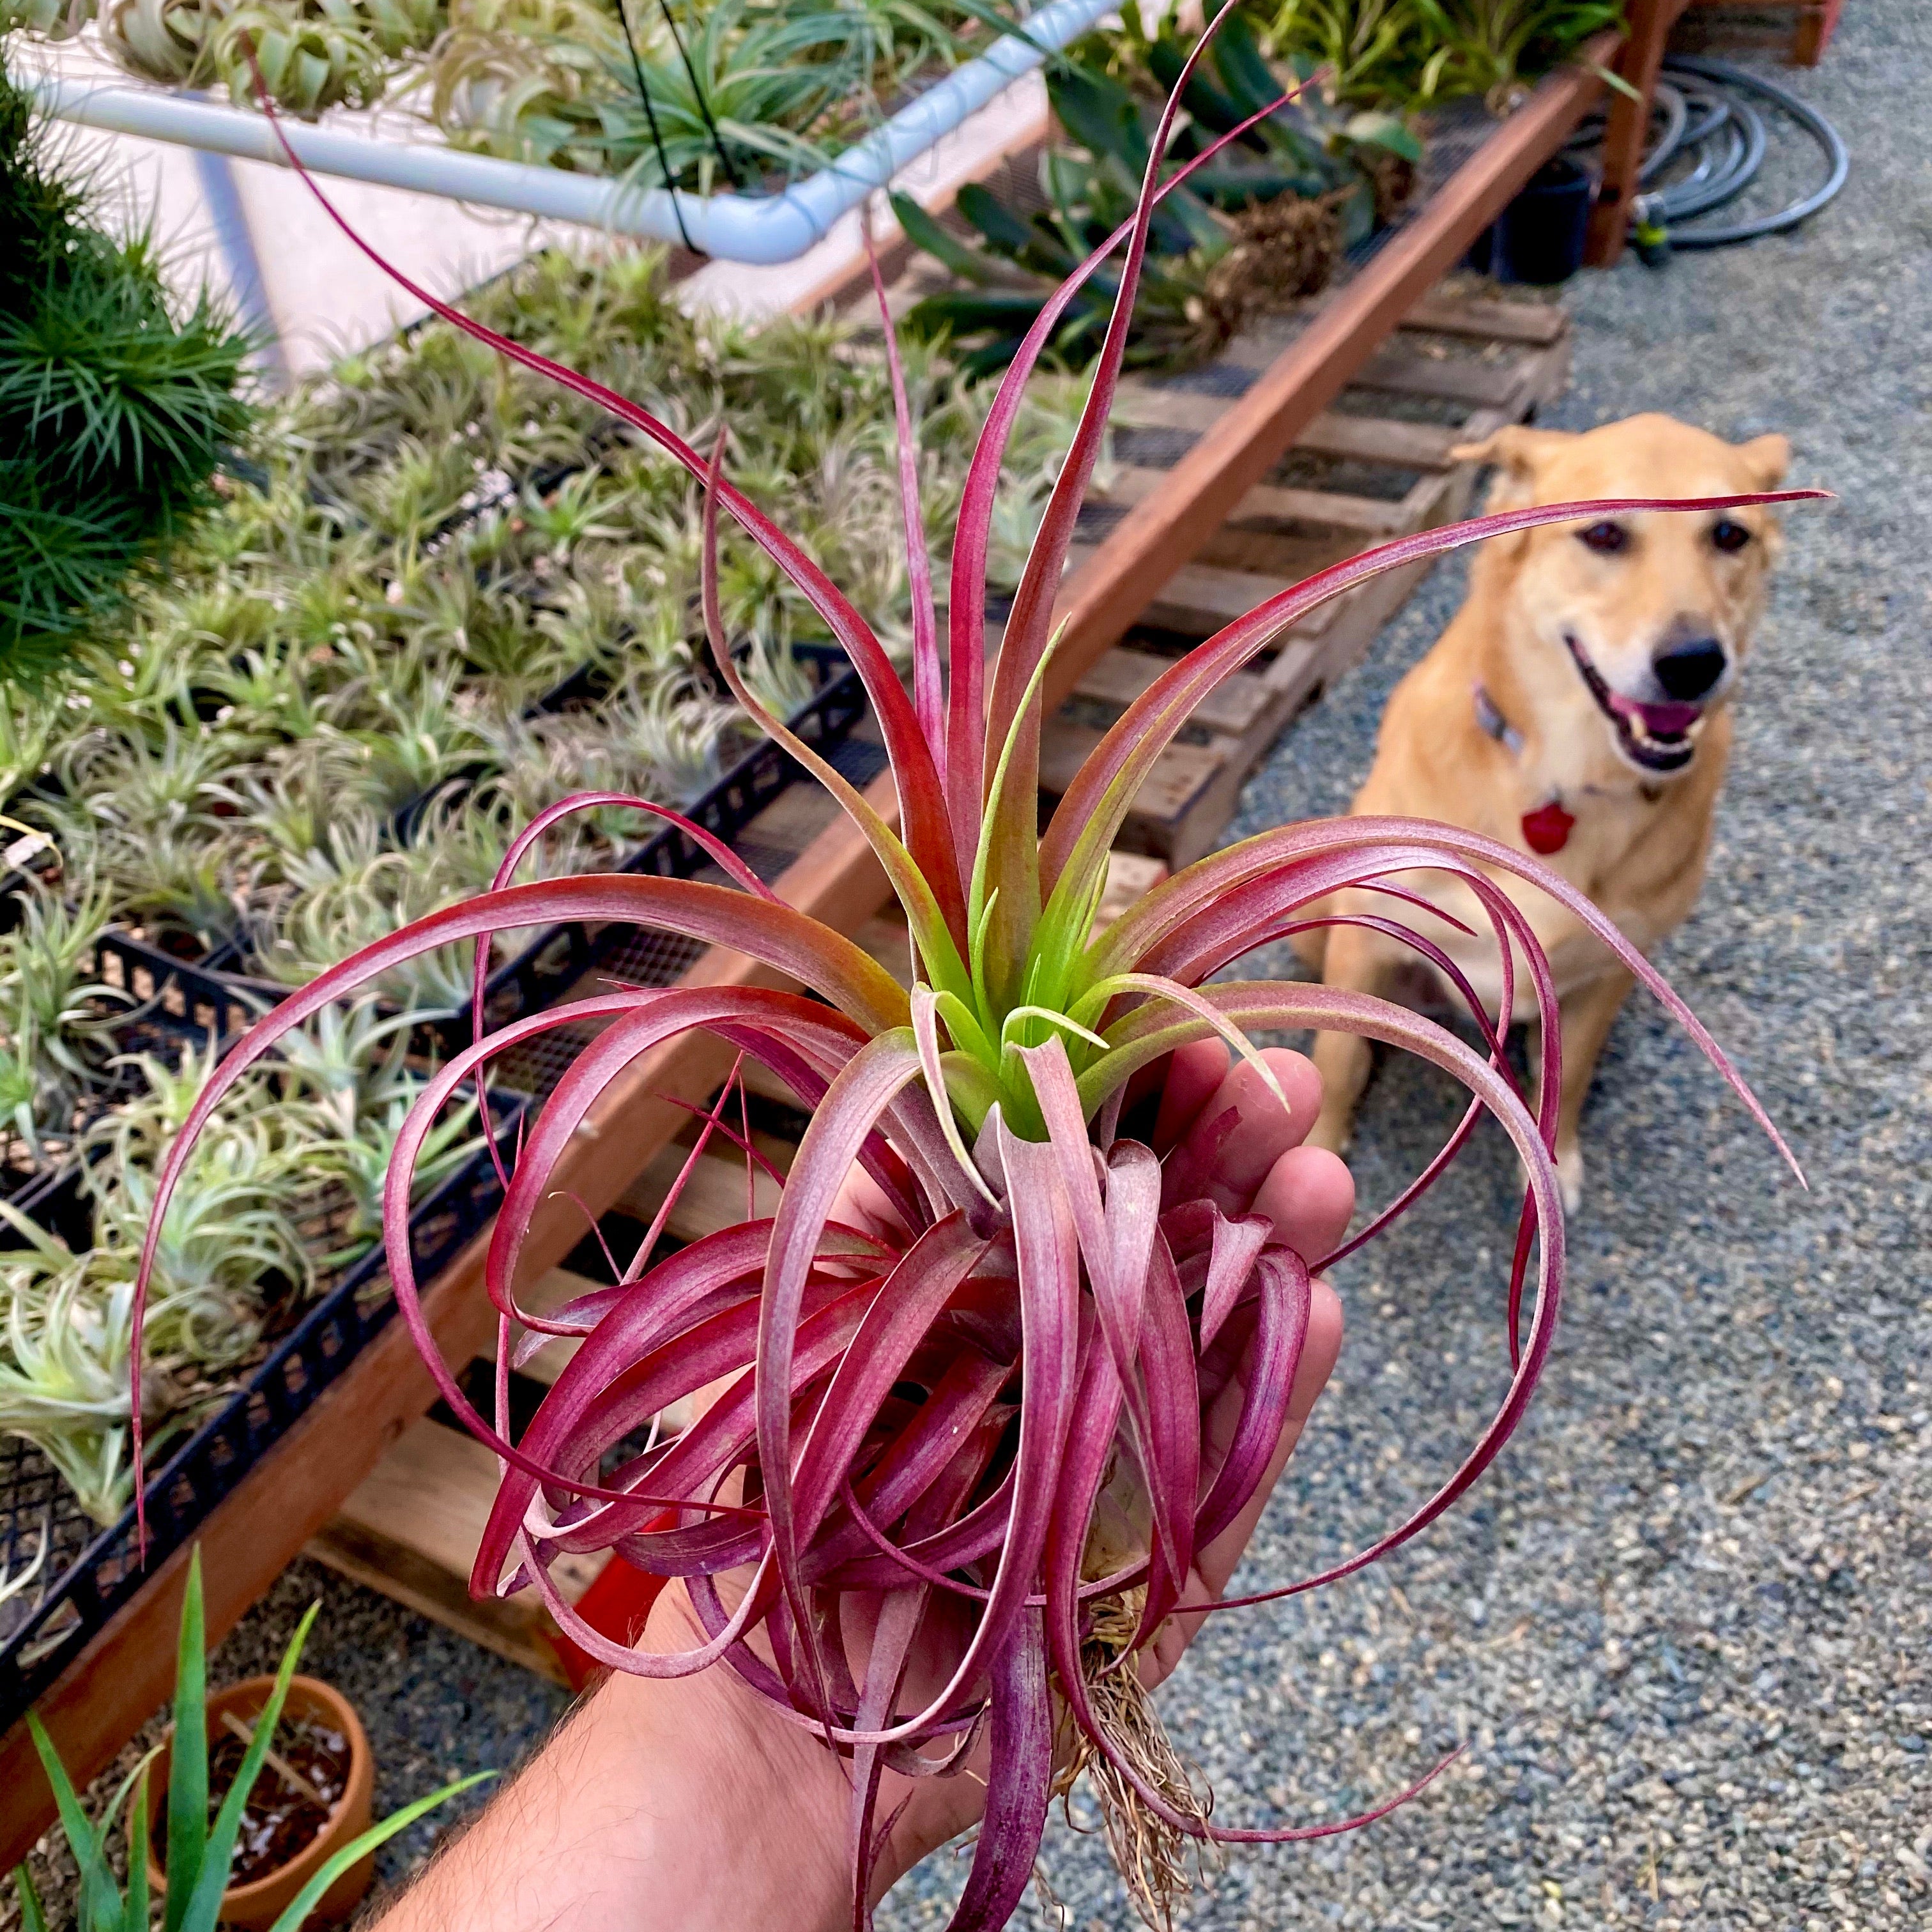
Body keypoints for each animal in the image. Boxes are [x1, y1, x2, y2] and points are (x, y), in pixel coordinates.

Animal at [1298, 417, 1793, 1213]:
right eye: (1604, 534)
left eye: (1729, 534)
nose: (1694, 662)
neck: (1562, 782)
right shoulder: (1369, 933)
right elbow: (1338, 1058)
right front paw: (1318, 1150)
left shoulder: (1610, 973)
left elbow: (1575, 1070)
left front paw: (1552, 1167)